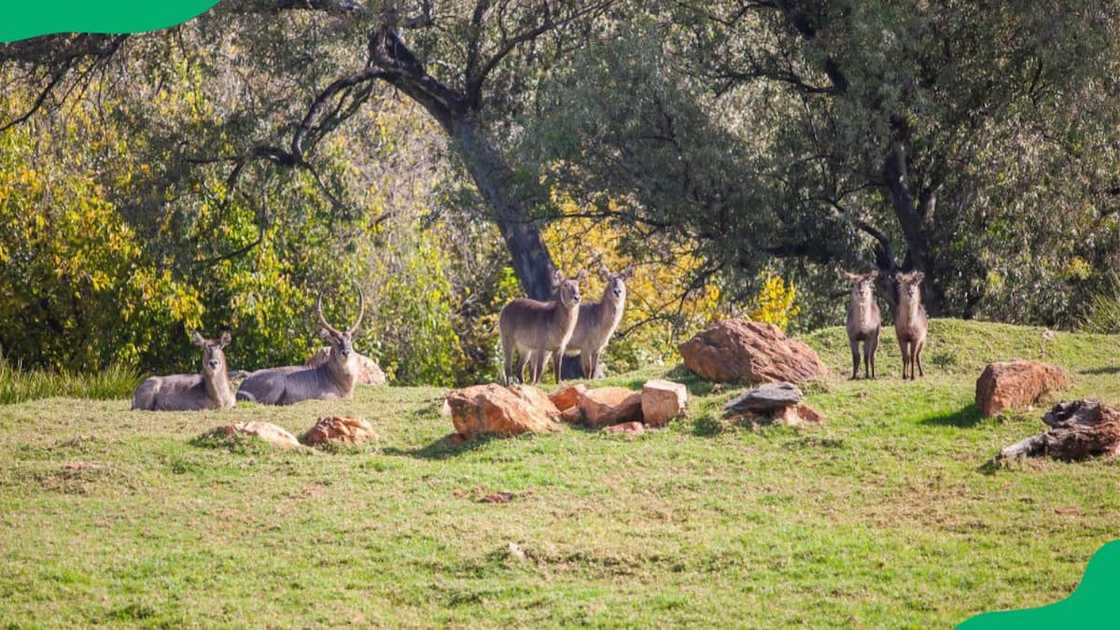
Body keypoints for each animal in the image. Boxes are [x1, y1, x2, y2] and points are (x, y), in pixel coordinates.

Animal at [237, 283, 367, 403]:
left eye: (350, 339)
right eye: (335, 340)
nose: (346, 352)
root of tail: (242, 386)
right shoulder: (325, 396)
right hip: (277, 383)